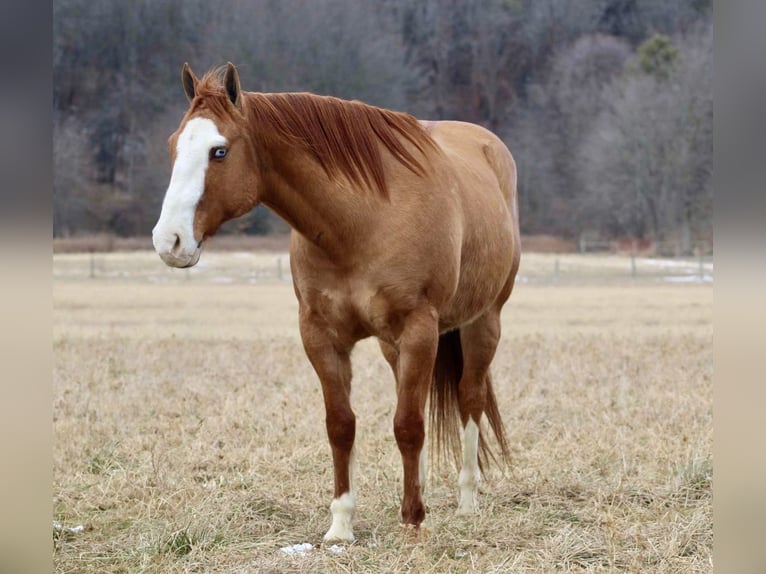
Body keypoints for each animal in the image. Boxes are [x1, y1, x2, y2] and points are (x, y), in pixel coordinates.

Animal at [152, 63, 520, 544]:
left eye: (219, 151)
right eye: (173, 145)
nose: (169, 240)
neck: (360, 222)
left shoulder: (419, 329)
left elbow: (408, 425)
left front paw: (412, 521)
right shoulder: (321, 337)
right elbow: (342, 425)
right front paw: (342, 526)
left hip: (482, 324)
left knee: (468, 399)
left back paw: (467, 501)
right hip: (394, 346)